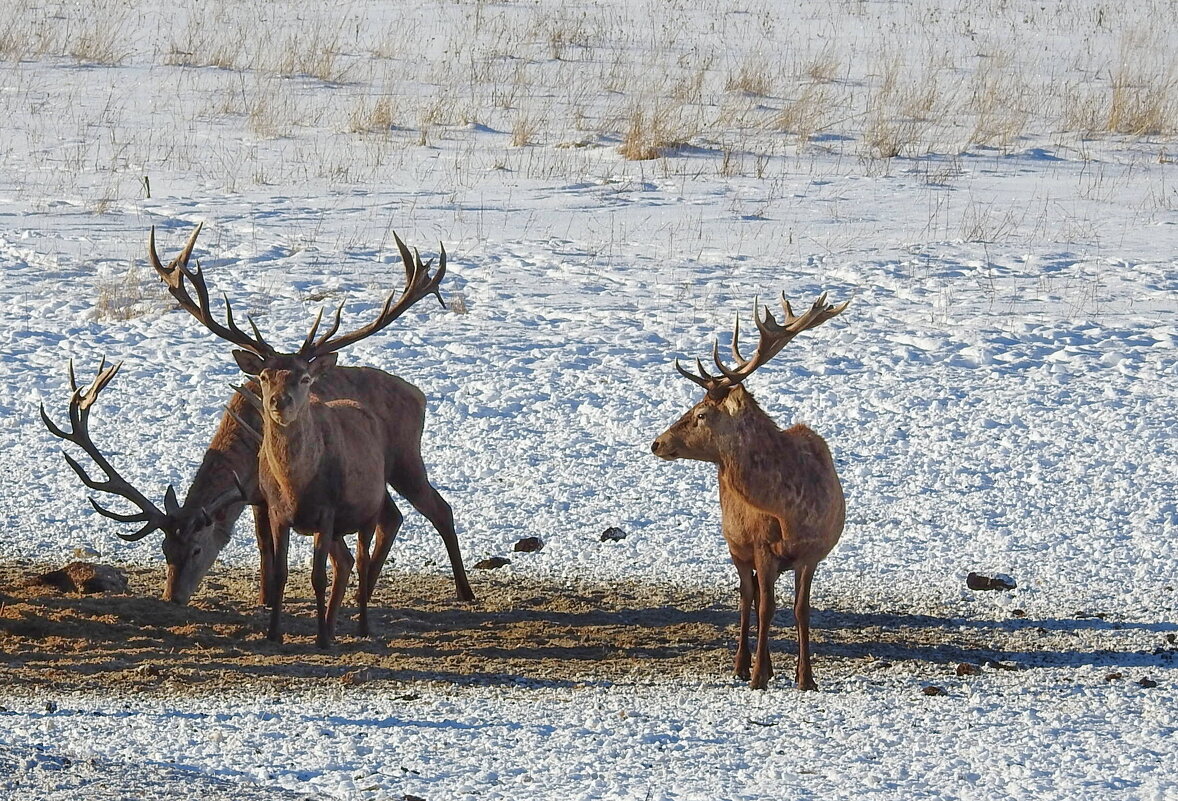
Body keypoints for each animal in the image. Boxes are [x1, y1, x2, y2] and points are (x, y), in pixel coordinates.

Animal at [148, 222, 459, 645]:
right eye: (165, 548)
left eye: (197, 549)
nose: (172, 597)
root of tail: (420, 394)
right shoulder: (262, 498)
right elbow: (268, 549)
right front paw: (268, 603)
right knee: (390, 518)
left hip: (406, 459)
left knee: (435, 510)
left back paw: (461, 593)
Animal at [654, 290, 848, 692]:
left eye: (700, 414)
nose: (657, 443)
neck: (789, 511)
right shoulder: (760, 545)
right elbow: (765, 606)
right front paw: (758, 674)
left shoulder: (813, 552)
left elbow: (801, 609)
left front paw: (806, 677)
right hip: (736, 545)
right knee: (748, 599)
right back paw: (743, 665)